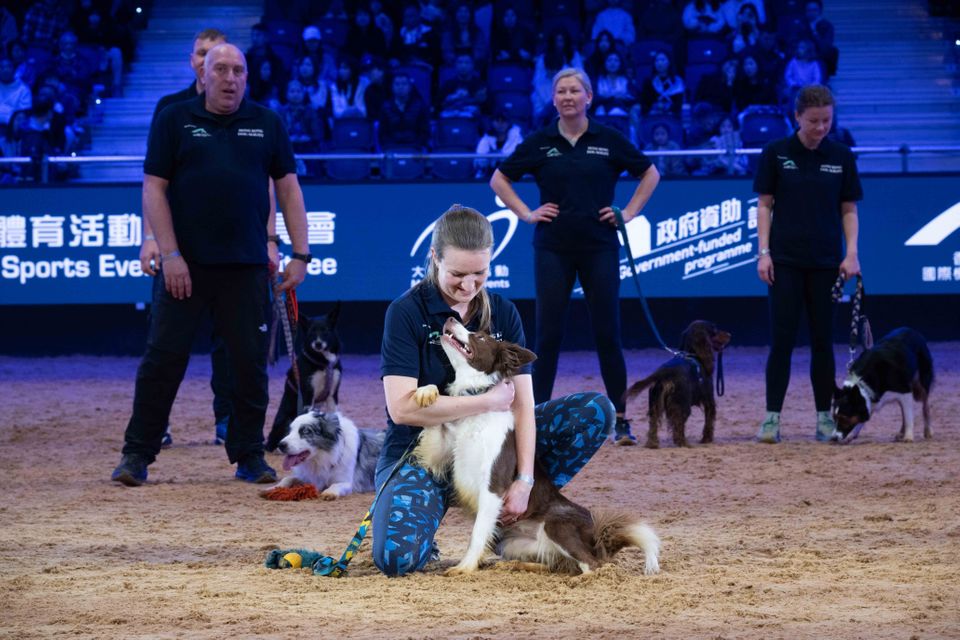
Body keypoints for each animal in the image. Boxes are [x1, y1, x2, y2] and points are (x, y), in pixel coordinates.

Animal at [266, 302, 342, 452]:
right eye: (312, 332)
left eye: (325, 330)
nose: (318, 343)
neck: (324, 362)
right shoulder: (308, 393)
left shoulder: (333, 394)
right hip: (285, 420)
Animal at [624, 320, 731, 448]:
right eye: (714, 330)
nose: (729, 334)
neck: (692, 354)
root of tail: (664, 373)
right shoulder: (709, 399)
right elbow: (709, 421)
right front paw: (707, 439)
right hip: (682, 405)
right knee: (678, 425)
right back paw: (683, 443)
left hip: (655, 405)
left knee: (653, 424)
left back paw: (652, 444)